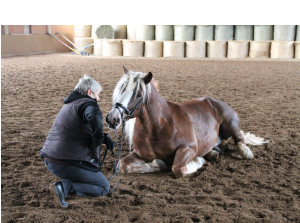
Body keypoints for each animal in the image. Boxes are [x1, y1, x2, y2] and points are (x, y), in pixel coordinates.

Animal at [106, 66, 270, 178]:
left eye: (139, 94)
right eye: (121, 90)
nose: (112, 118)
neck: (158, 127)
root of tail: (214, 101)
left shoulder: (188, 148)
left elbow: (178, 168)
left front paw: (197, 161)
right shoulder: (139, 153)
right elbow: (122, 165)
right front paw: (158, 164)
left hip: (231, 124)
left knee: (240, 141)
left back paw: (244, 152)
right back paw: (213, 152)